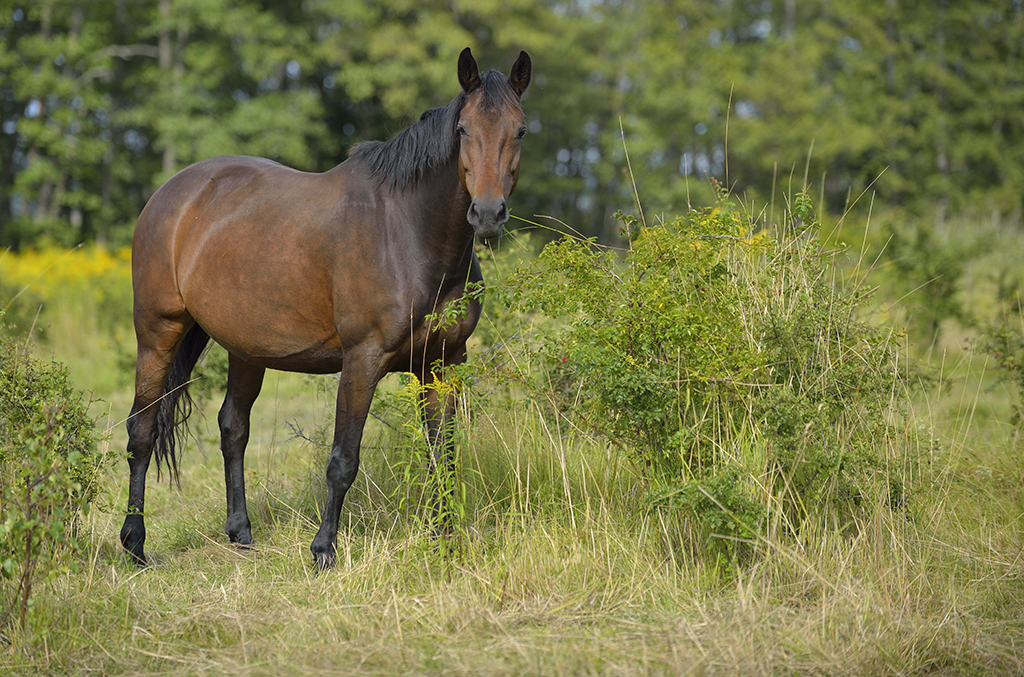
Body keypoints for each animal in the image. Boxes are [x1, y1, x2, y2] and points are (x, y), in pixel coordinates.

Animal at [120, 48, 531, 570]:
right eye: (462, 130)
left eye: (520, 130)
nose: (487, 214)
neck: (408, 233)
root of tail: (170, 195)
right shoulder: (362, 360)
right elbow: (343, 460)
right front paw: (323, 551)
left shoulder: (442, 364)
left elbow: (444, 455)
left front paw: (447, 543)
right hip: (159, 332)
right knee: (142, 431)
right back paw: (135, 542)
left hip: (246, 349)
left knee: (233, 428)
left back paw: (241, 534)